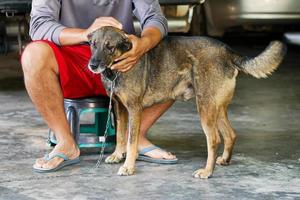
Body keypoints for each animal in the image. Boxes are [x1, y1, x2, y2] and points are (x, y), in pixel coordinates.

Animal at [86, 26, 286, 178]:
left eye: (110, 47)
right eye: (93, 45)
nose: (93, 65)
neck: (116, 68)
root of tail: (227, 51)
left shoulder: (134, 109)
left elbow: (131, 140)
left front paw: (128, 166)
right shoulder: (119, 107)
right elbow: (121, 135)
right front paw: (117, 155)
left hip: (205, 107)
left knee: (214, 139)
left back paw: (207, 171)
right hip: (216, 107)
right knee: (230, 134)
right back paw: (224, 160)